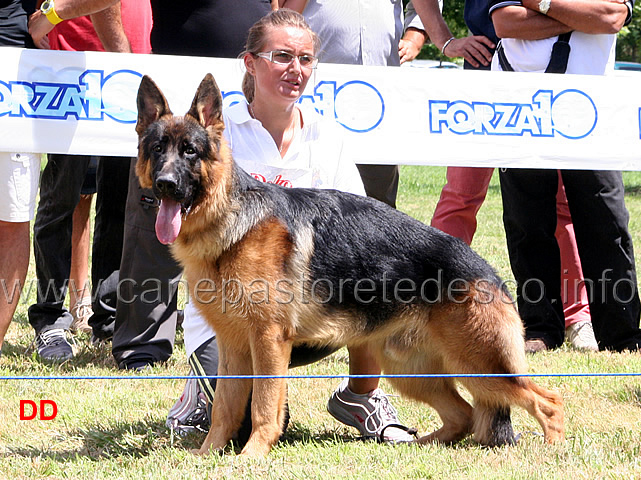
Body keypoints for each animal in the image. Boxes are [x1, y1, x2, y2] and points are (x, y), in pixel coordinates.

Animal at [136, 73, 564, 456]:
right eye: (157, 149)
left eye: (190, 151)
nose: (165, 184)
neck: (231, 219)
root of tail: (489, 273)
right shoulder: (234, 347)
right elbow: (225, 407)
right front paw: (209, 454)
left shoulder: (269, 342)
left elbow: (262, 407)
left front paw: (252, 456)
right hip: (409, 369)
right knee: (465, 415)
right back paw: (419, 445)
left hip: (479, 365)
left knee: (546, 401)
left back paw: (552, 449)